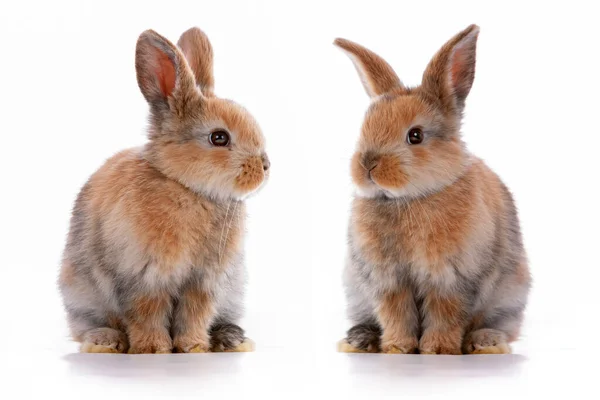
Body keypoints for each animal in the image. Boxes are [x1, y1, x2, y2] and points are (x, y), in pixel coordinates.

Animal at [59, 27, 270, 354]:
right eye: (219, 137)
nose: (265, 166)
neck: (186, 187)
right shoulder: (144, 278)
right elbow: (146, 314)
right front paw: (152, 349)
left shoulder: (204, 282)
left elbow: (195, 315)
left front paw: (193, 348)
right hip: (82, 295)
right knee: (88, 327)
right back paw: (106, 342)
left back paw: (232, 340)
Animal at [338, 26, 528, 354]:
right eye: (365, 128)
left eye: (415, 136)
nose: (368, 165)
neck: (409, 199)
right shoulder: (388, 281)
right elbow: (395, 314)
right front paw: (397, 348)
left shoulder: (451, 279)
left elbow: (445, 315)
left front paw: (438, 349)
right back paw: (360, 341)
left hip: (508, 297)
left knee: (498, 326)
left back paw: (484, 343)